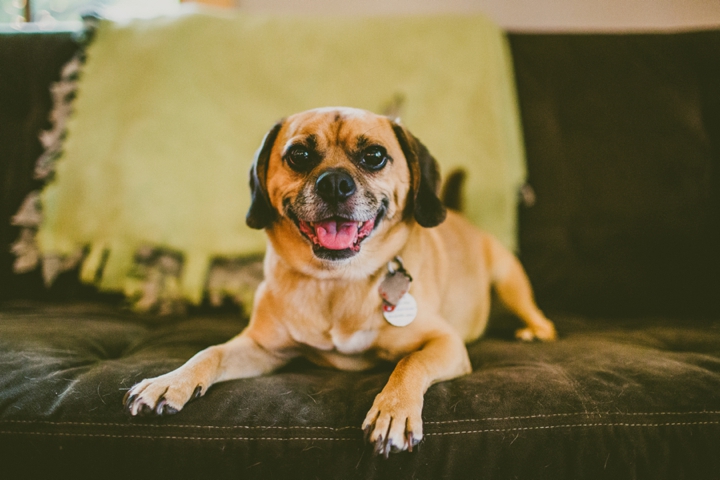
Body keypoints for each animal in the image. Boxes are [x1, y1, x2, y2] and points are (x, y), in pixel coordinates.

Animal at [124, 107, 556, 456]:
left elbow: (409, 363)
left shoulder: (444, 343)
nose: (334, 183)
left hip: (509, 280)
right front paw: (169, 382)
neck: (336, 281)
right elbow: (209, 353)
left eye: (374, 156)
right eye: (299, 155)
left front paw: (393, 410)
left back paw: (535, 331)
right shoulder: (262, 349)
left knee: (536, 314)